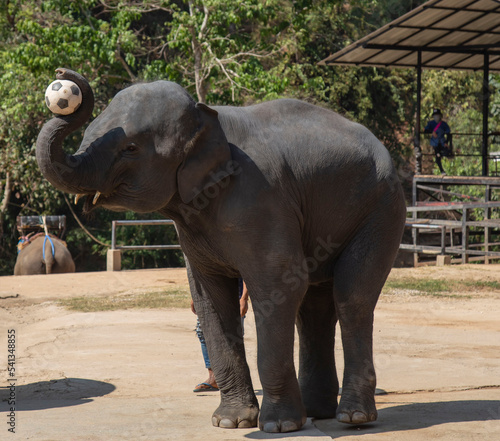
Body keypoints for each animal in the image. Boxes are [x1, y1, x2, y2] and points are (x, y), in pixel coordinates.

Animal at [36, 69, 406, 434]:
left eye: (130, 148)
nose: (64, 76)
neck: (207, 117)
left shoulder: (260, 197)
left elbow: (279, 286)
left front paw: (278, 425)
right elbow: (209, 299)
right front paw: (230, 422)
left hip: (381, 208)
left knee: (351, 296)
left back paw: (352, 418)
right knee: (315, 307)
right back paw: (317, 412)